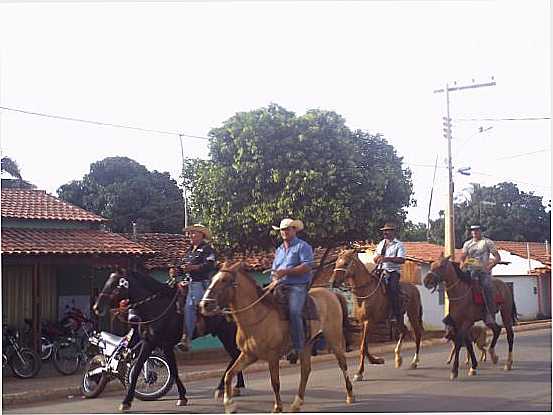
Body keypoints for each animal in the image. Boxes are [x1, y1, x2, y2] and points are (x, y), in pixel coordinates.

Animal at [330, 249, 424, 382]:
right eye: (337, 262)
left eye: (346, 263)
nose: (332, 282)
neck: (365, 292)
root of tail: (414, 288)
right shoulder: (362, 322)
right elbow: (364, 345)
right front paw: (376, 360)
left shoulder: (369, 321)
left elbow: (363, 347)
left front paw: (359, 373)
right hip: (399, 316)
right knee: (403, 331)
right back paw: (398, 359)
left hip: (413, 314)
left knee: (417, 334)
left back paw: (414, 362)